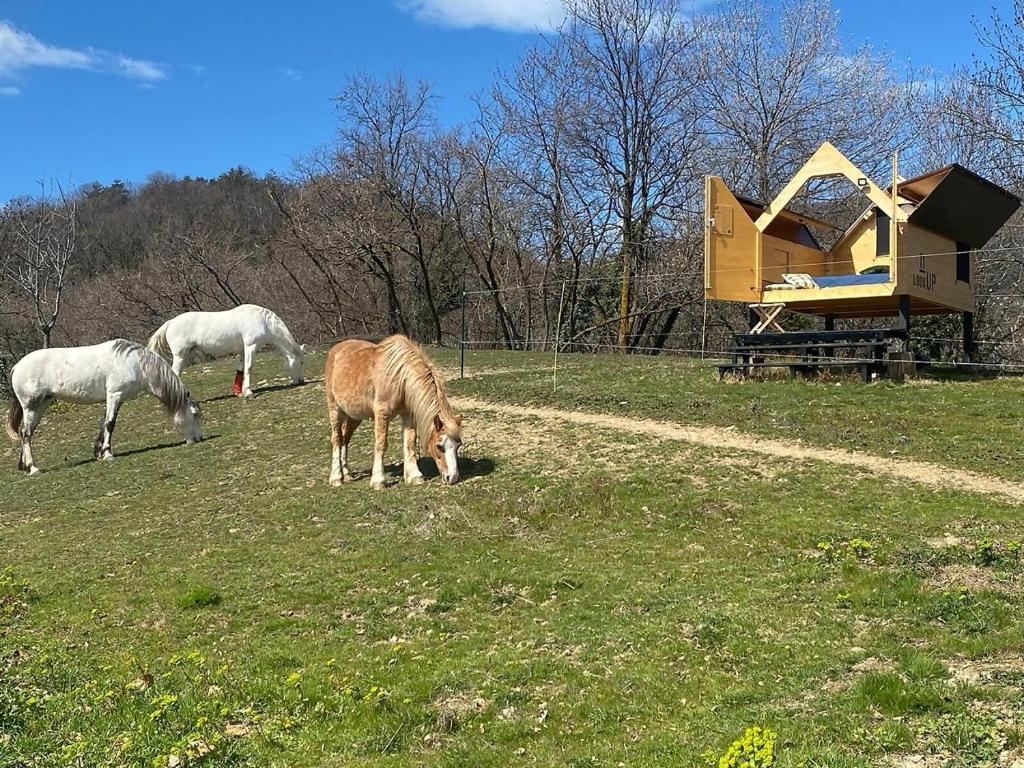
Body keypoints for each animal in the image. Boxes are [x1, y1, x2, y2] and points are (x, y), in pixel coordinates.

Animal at [5, 339, 202, 475]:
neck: (135, 364)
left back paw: (24, 466)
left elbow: (104, 423)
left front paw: (98, 452)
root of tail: (16, 367)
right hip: (31, 406)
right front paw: (107, 454)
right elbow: (110, 423)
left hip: (41, 405)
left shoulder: (115, 398)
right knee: (26, 434)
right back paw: (32, 468)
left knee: (26, 433)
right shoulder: (115, 395)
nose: (199, 438)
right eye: (194, 414)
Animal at [147, 304, 305, 397]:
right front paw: (248, 392)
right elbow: (249, 368)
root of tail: (170, 323)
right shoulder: (250, 347)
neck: (263, 321)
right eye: (302, 363)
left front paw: (239, 392)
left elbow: (241, 369)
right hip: (180, 355)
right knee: (174, 372)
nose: (301, 381)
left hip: (188, 354)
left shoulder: (243, 351)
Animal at [324, 334, 463, 489]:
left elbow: (410, 443)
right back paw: (336, 477)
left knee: (345, 439)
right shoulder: (382, 413)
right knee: (337, 439)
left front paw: (415, 476)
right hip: (335, 409)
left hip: (354, 416)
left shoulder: (408, 416)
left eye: (458, 446)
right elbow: (381, 444)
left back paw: (347, 474)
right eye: (439, 446)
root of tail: (335, 350)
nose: (453, 477)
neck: (401, 378)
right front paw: (378, 481)